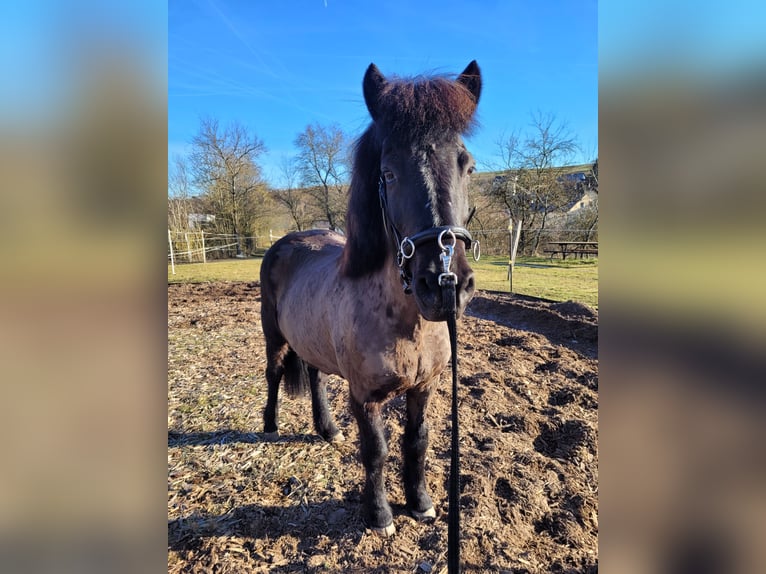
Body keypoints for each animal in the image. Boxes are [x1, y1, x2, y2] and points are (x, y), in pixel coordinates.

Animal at [259, 61, 481, 536]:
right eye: (389, 173)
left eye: (468, 166)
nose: (445, 283)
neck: (407, 324)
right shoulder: (365, 397)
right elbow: (376, 450)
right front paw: (379, 515)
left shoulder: (424, 389)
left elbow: (417, 442)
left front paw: (420, 504)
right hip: (273, 334)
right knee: (272, 373)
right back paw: (269, 426)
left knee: (316, 376)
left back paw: (327, 429)